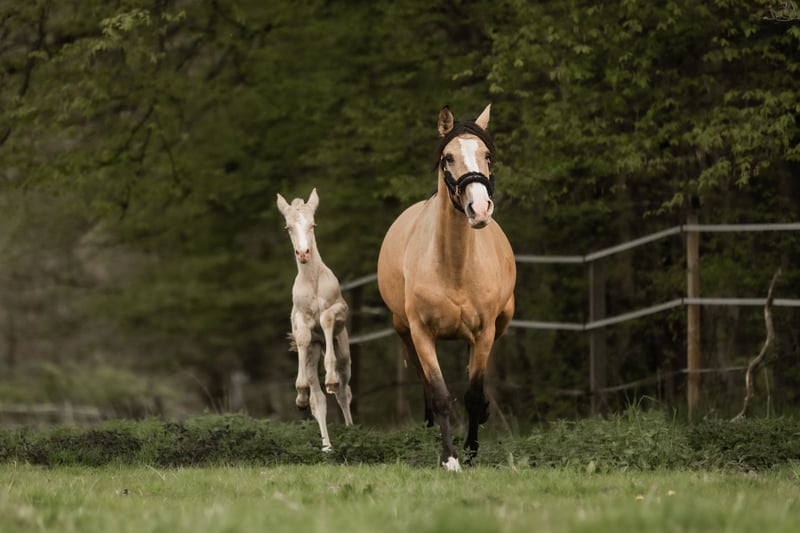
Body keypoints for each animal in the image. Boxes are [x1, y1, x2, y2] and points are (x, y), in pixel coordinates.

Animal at [277, 188, 354, 452]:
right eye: (288, 227)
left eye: (313, 224)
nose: (303, 253)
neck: (313, 281)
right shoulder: (301, 321)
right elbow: (302, 336)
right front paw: (299, 392)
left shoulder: (340, 309)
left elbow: (328, 317)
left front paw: (329, 377)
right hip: (313, 352)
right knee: (318, 400)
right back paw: (327, 447)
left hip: (344, 351)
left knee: (344, 390)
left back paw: (352, 429)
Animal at [377, 104, 516, 471]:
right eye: (448, 158)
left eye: (487, 156)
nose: (479, 209)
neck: (453, 266)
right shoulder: (422, 332)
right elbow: (439, 393)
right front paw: (450, 458)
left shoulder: (484, 332)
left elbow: (473, 394)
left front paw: (471, 451)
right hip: (403, 328)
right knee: (424, 380)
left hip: (499, 324)